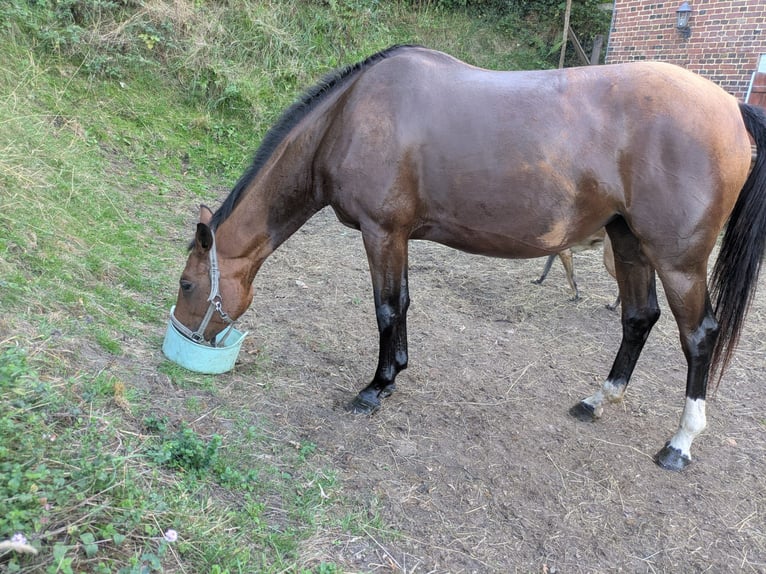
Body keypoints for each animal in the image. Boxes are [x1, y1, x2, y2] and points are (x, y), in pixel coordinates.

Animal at [171, 45, 766, 471]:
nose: (182, 335)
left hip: (677, 260)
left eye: (186, 284)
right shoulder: (398, 237)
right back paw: (597, 401)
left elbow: (386, 308)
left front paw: (374, 389)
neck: (350, 115)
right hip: (628, 243)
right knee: (638, 318)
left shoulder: (382, 233)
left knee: (699, 336)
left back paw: (680, 442)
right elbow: (403, 306)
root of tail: (731, 107)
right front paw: (394, 375)